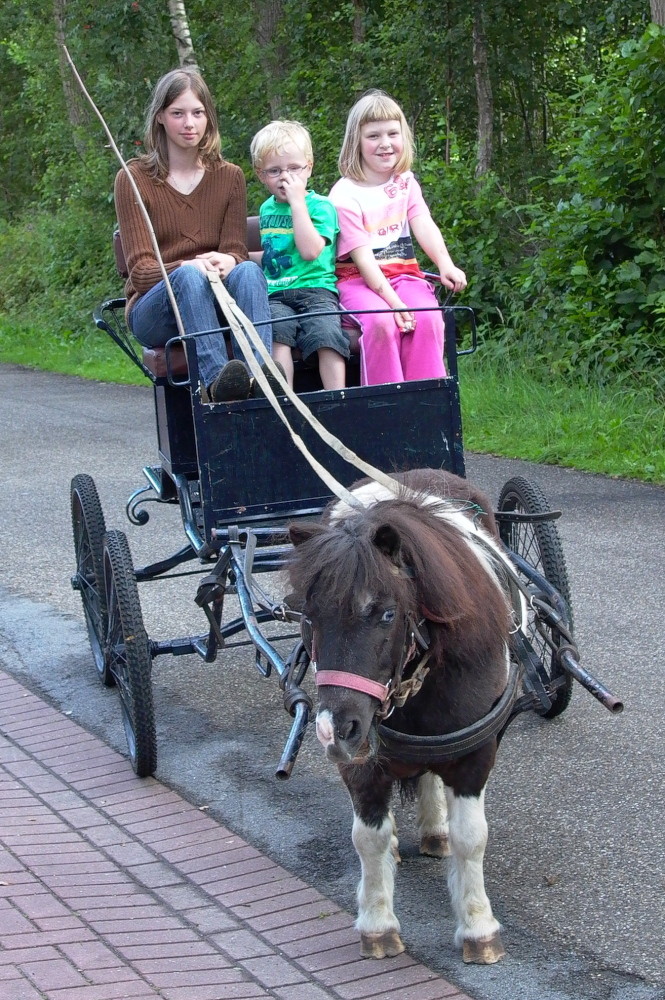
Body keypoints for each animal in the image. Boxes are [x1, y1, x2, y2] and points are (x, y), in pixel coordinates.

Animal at [288, 466, 520, 960]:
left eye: (387, 614)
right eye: (309, 617)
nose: (335, 730)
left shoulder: (475, 756)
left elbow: (472, 837)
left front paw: (478, 927)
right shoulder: (361, 764)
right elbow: (368, 837)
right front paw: (377, 924)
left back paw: (437, 831)